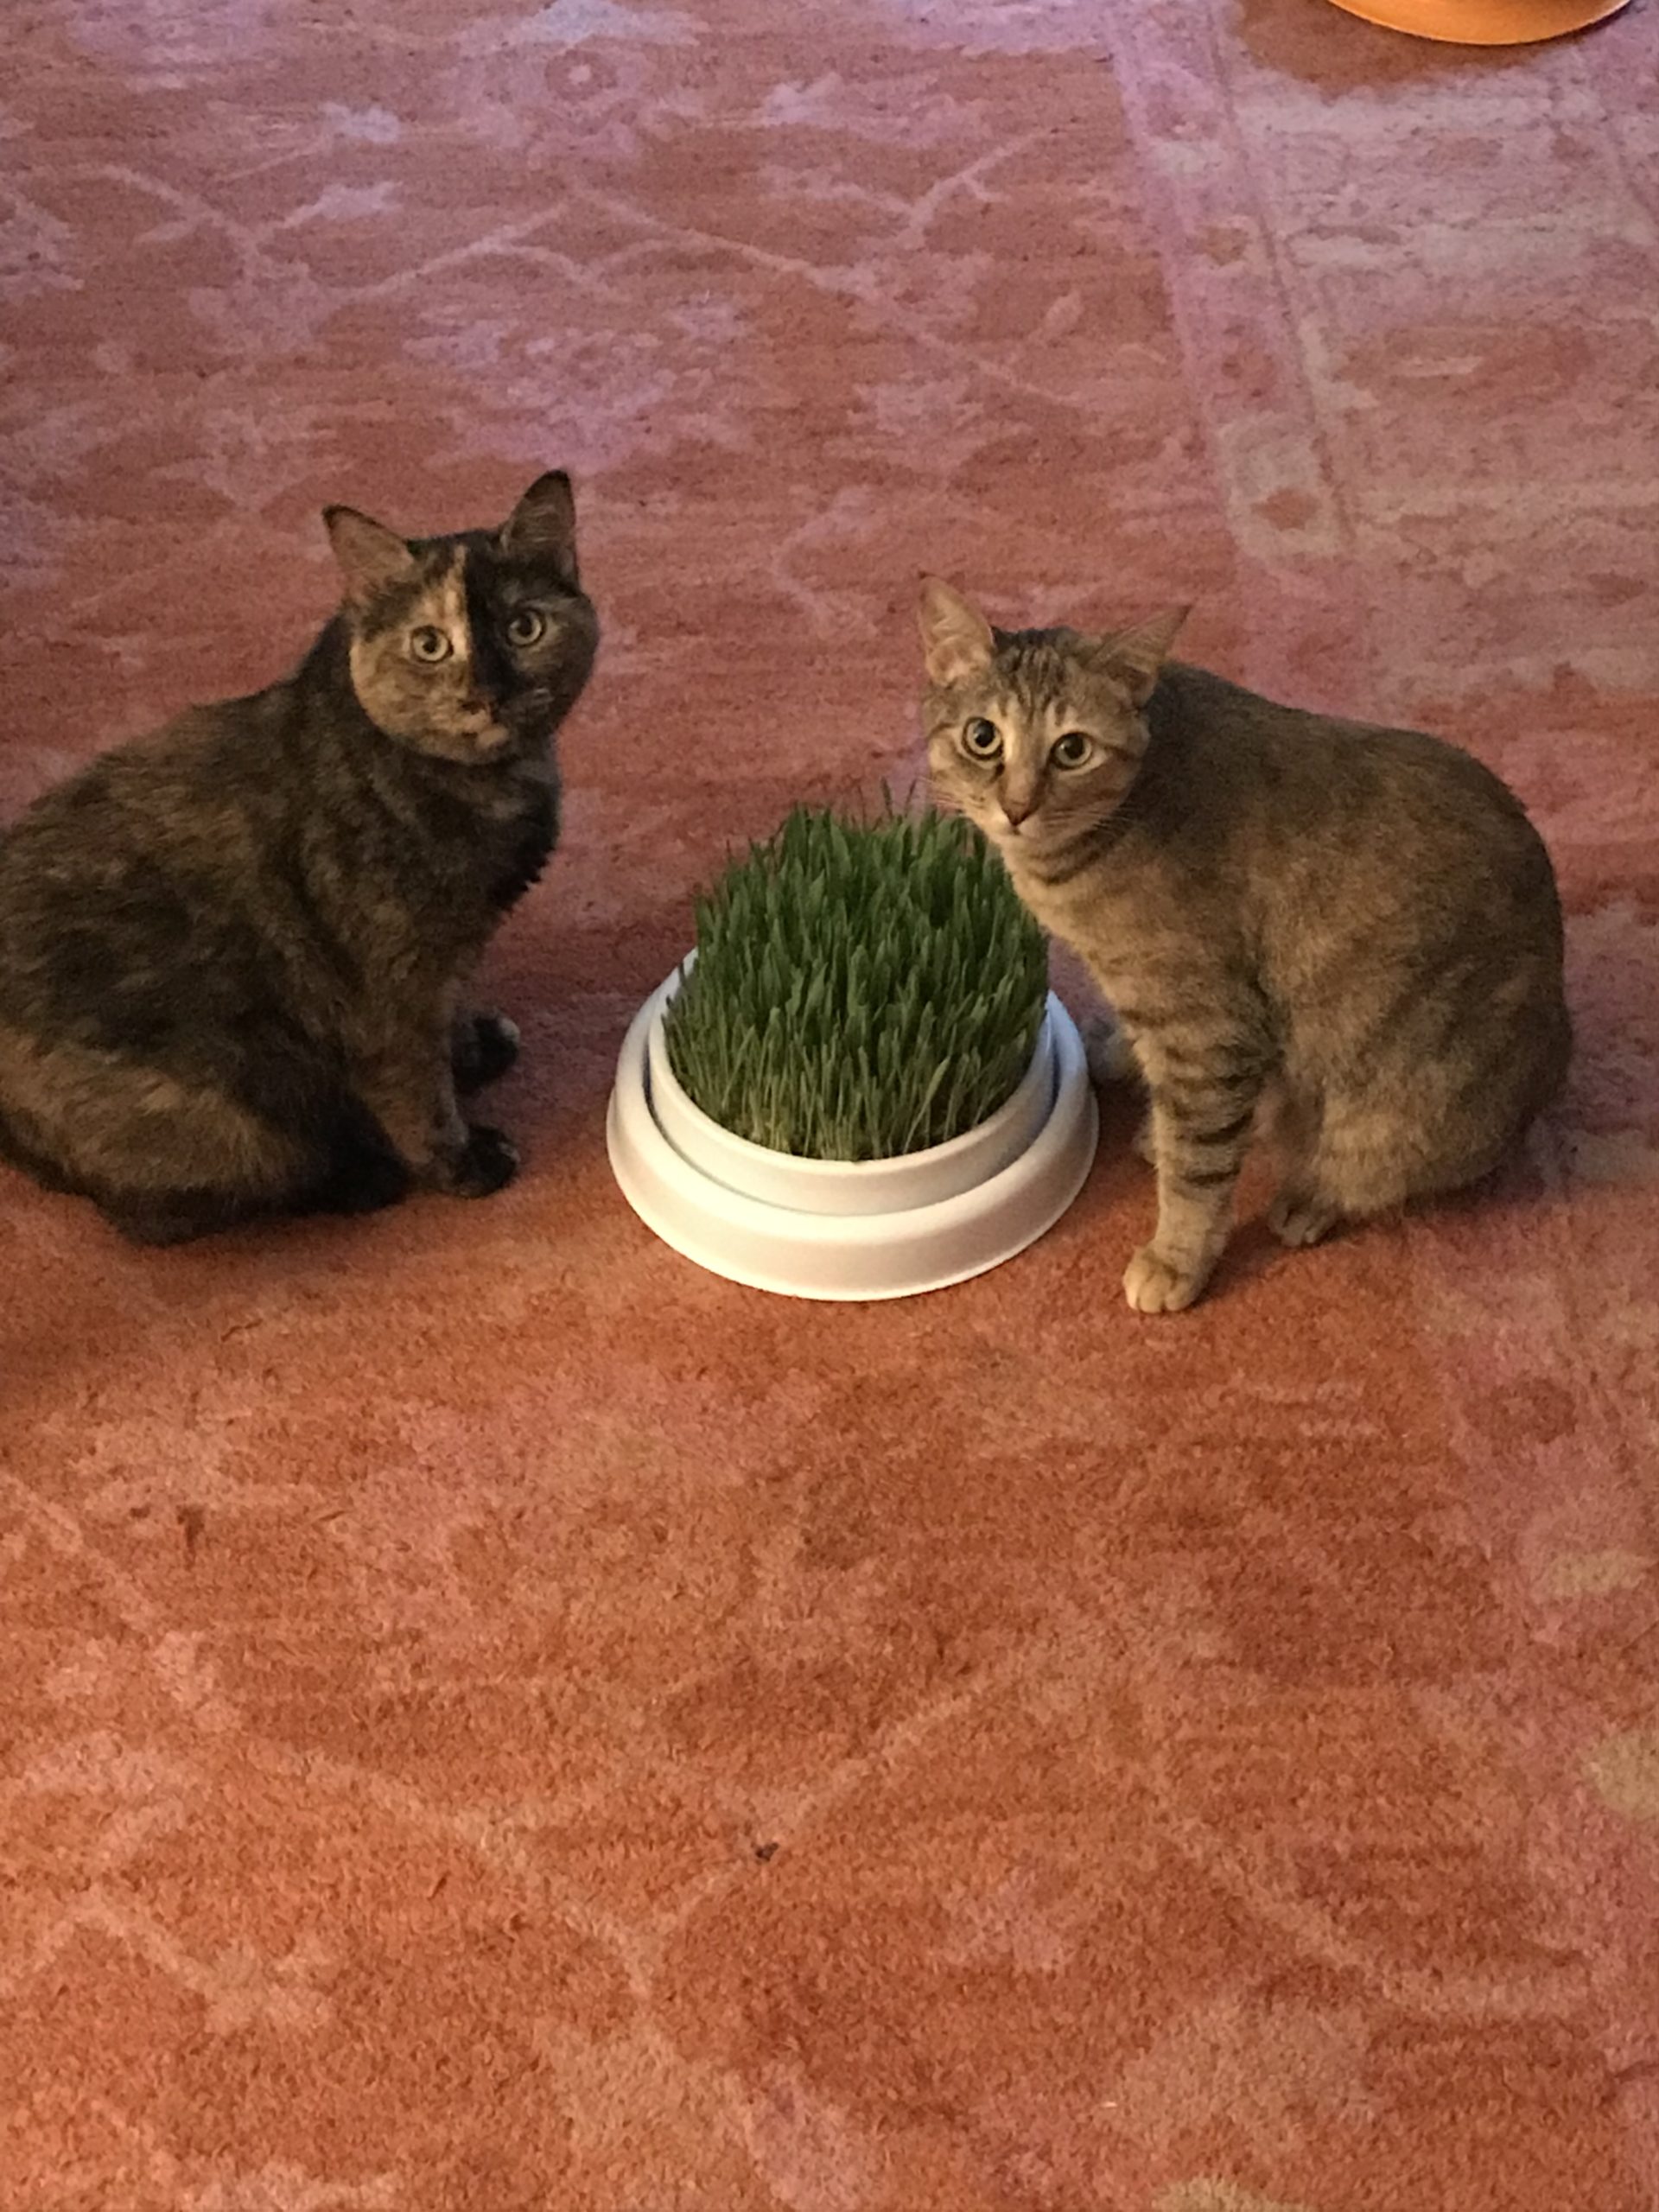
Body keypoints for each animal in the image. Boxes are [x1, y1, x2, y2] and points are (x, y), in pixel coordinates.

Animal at [0, 468, 597, 1247]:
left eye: (525, 627)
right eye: (429, 644)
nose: (485, 694)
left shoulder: (451, 953)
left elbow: (451, 1017)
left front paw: (472, 1048)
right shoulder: (387, 989)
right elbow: (418, 1090)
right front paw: (462, 1164)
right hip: (223, 1111)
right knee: (159, 1212)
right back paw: (360, 1179)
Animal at [925, 583, 1574, 1309]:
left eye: (1072, 750)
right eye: (983, 737)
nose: (1017, 807)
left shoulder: (1207, 1029)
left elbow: (1197, 1177)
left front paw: (1176, 1259)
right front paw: (1122, 1059)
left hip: (1397, 1107)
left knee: (1369, 1172)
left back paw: (1304, 1201)